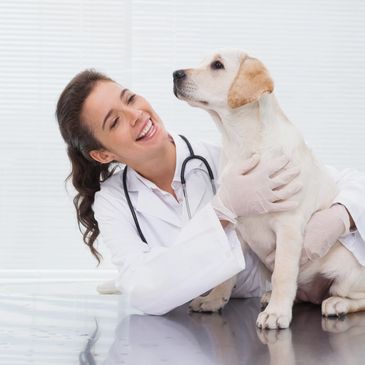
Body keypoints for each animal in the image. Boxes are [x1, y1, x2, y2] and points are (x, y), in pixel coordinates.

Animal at [173, 48, 364, 328]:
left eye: (217, 65)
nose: (175, 74)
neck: (242, 143)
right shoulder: (237, 227)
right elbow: (227, 274)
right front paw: (213, 300)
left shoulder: (288, 226)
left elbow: (283, 273)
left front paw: (276, 314)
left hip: (346, 270)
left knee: (354, 297)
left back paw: (335, 303)